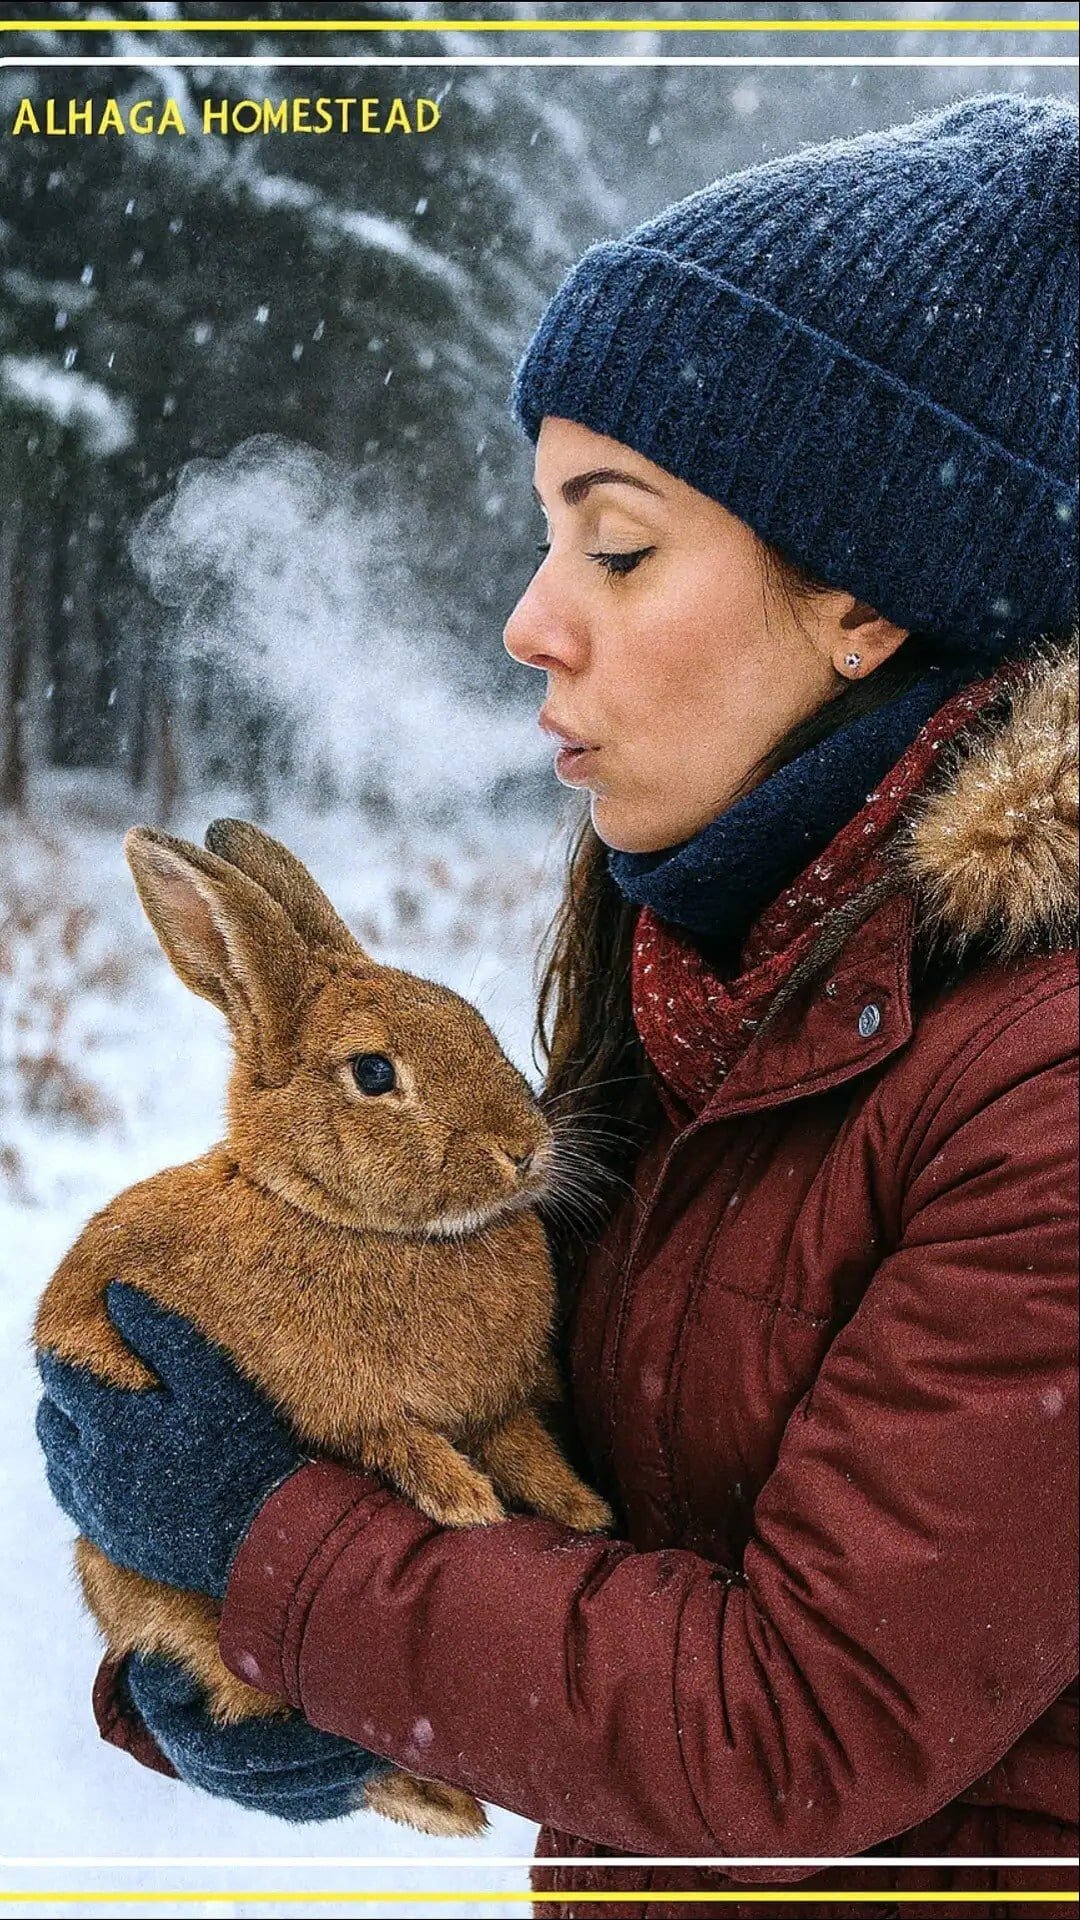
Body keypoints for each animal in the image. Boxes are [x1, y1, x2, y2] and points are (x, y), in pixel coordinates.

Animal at [35, 818, 613, 1839]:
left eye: (475, 1020)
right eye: (375, 1073)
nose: (525, 1150)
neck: (351, 1221)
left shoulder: (499, 1408)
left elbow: (523, 1442)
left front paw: (579, 1507)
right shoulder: (350, 1411)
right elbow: (395, 1438)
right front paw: (464, 1502)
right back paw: (437, 1803)